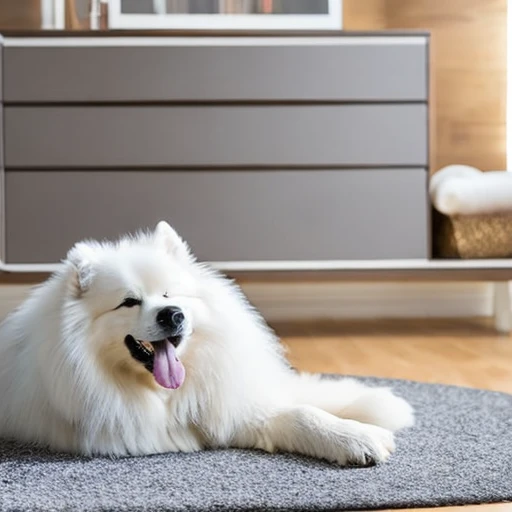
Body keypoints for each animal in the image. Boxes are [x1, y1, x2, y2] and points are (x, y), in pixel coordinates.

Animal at [0, 222, 412, 466]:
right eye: (129, 302)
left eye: (170, 294)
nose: (172, 314)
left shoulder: (231, 403)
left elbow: (300, 412)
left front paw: (358, 431)